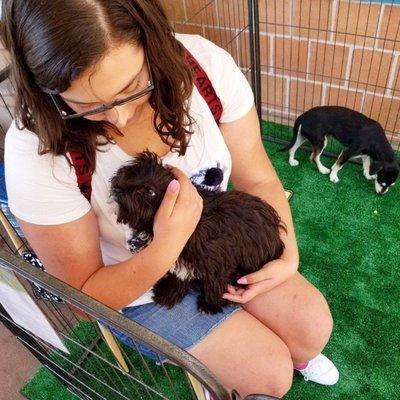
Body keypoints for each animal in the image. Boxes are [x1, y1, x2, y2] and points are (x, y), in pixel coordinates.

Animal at [110, 152, 284, 314]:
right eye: (133, 172)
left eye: (150, 191)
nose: (118, 187)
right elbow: (181, 273)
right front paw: (168, 292)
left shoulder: (218, 258)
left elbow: (214, 280)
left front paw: (210, 304)